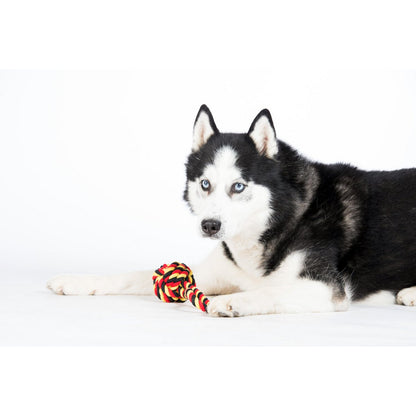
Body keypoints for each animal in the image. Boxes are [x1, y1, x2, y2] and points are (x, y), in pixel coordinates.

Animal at [48, 105, 416, 316]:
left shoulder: (327, 289)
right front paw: (76, 282)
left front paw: (230, 302)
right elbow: (131, 276)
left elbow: (270, 291)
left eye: (238, 187)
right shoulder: (211, 273)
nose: (210, 226)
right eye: (205, 184)